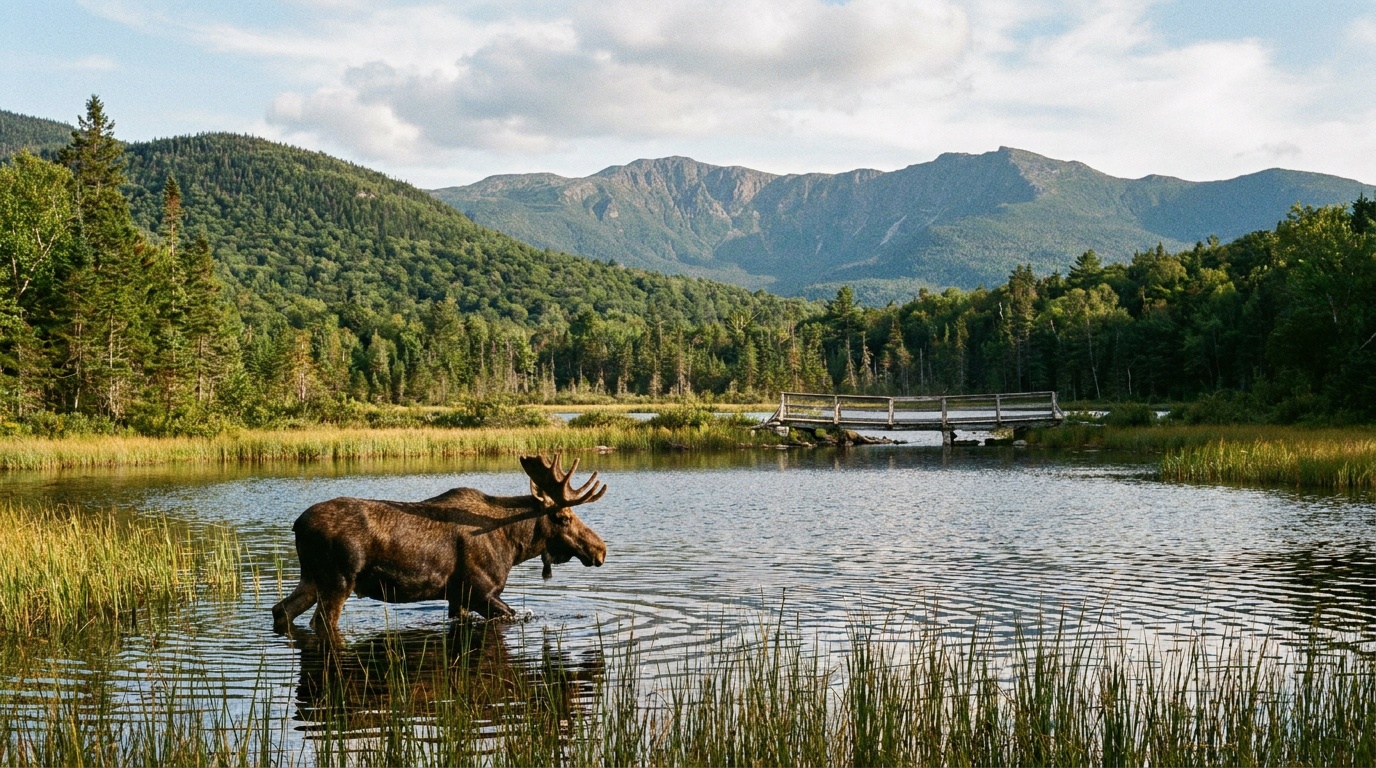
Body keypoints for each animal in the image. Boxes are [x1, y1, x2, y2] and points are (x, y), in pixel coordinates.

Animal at [272, 454, 607, 642]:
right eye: (564, 517)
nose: (600, 549)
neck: (514, 546)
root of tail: (297, 525)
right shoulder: (481, 592)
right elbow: (513, 614)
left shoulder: (457, 596)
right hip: (338, 580)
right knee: (321, 622)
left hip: (311, 578)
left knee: (281, 610)